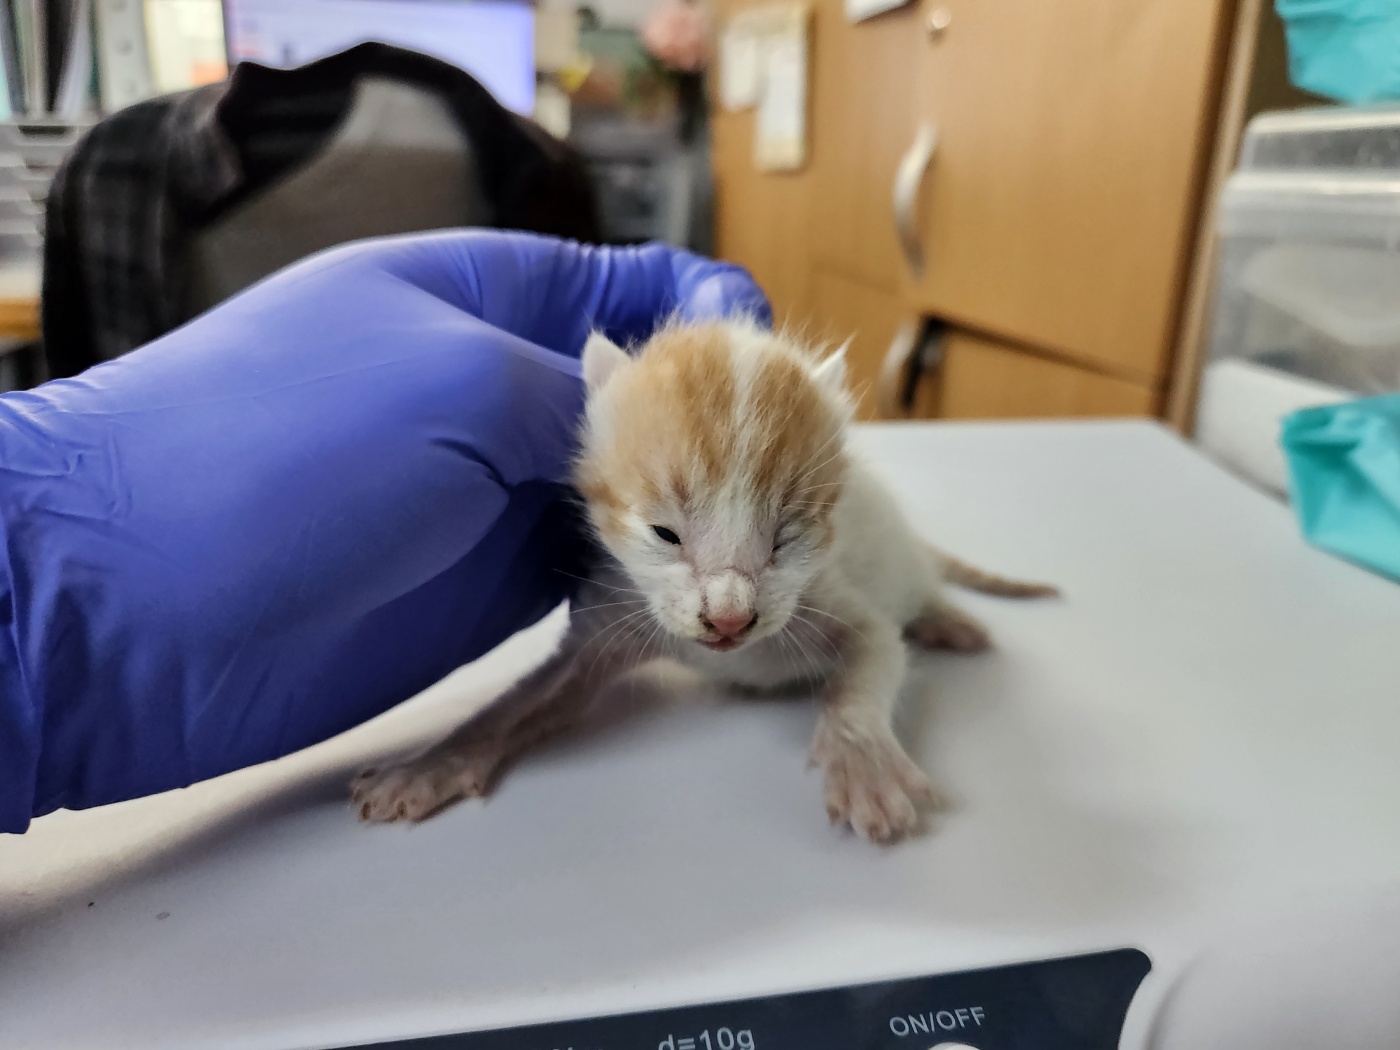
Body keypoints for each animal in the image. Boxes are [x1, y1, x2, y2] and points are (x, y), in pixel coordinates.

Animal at [350, 316, 1052, 845]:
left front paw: (862, 761)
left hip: (900, 559)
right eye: (666, 534)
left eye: (786, 537)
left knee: (922, 587)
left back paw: (949, 621)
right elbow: (519, 702)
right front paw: (430, 765)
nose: (730, 617)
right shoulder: (616, 618)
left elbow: (869, 663)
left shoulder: (840, 601)